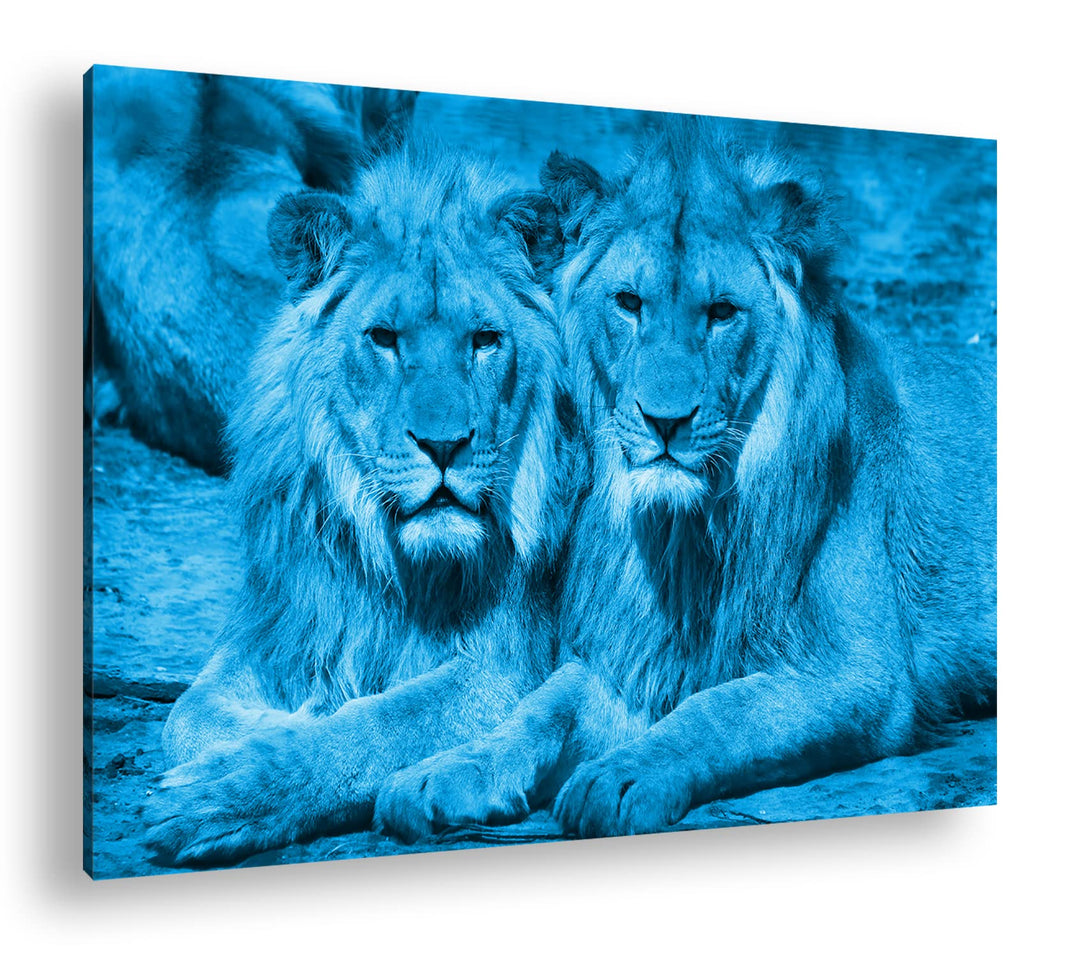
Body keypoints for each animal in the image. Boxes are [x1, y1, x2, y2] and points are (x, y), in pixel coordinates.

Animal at [142, 143, 571, 866]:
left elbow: (381, 724)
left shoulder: (505, 664)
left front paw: (234, 783)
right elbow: (188, 716)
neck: (397, 566)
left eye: (485, 339)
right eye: (384, 338)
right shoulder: (286, 622)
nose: (444, 445)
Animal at [374, 120, 997, 842]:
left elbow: (718, 710)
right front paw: (446, 772)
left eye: (722, 312)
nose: (664, 421)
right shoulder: (634, 650)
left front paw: (621, 776)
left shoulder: (862, 672)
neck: (683, 535)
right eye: (628, 303)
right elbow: (545, 705)